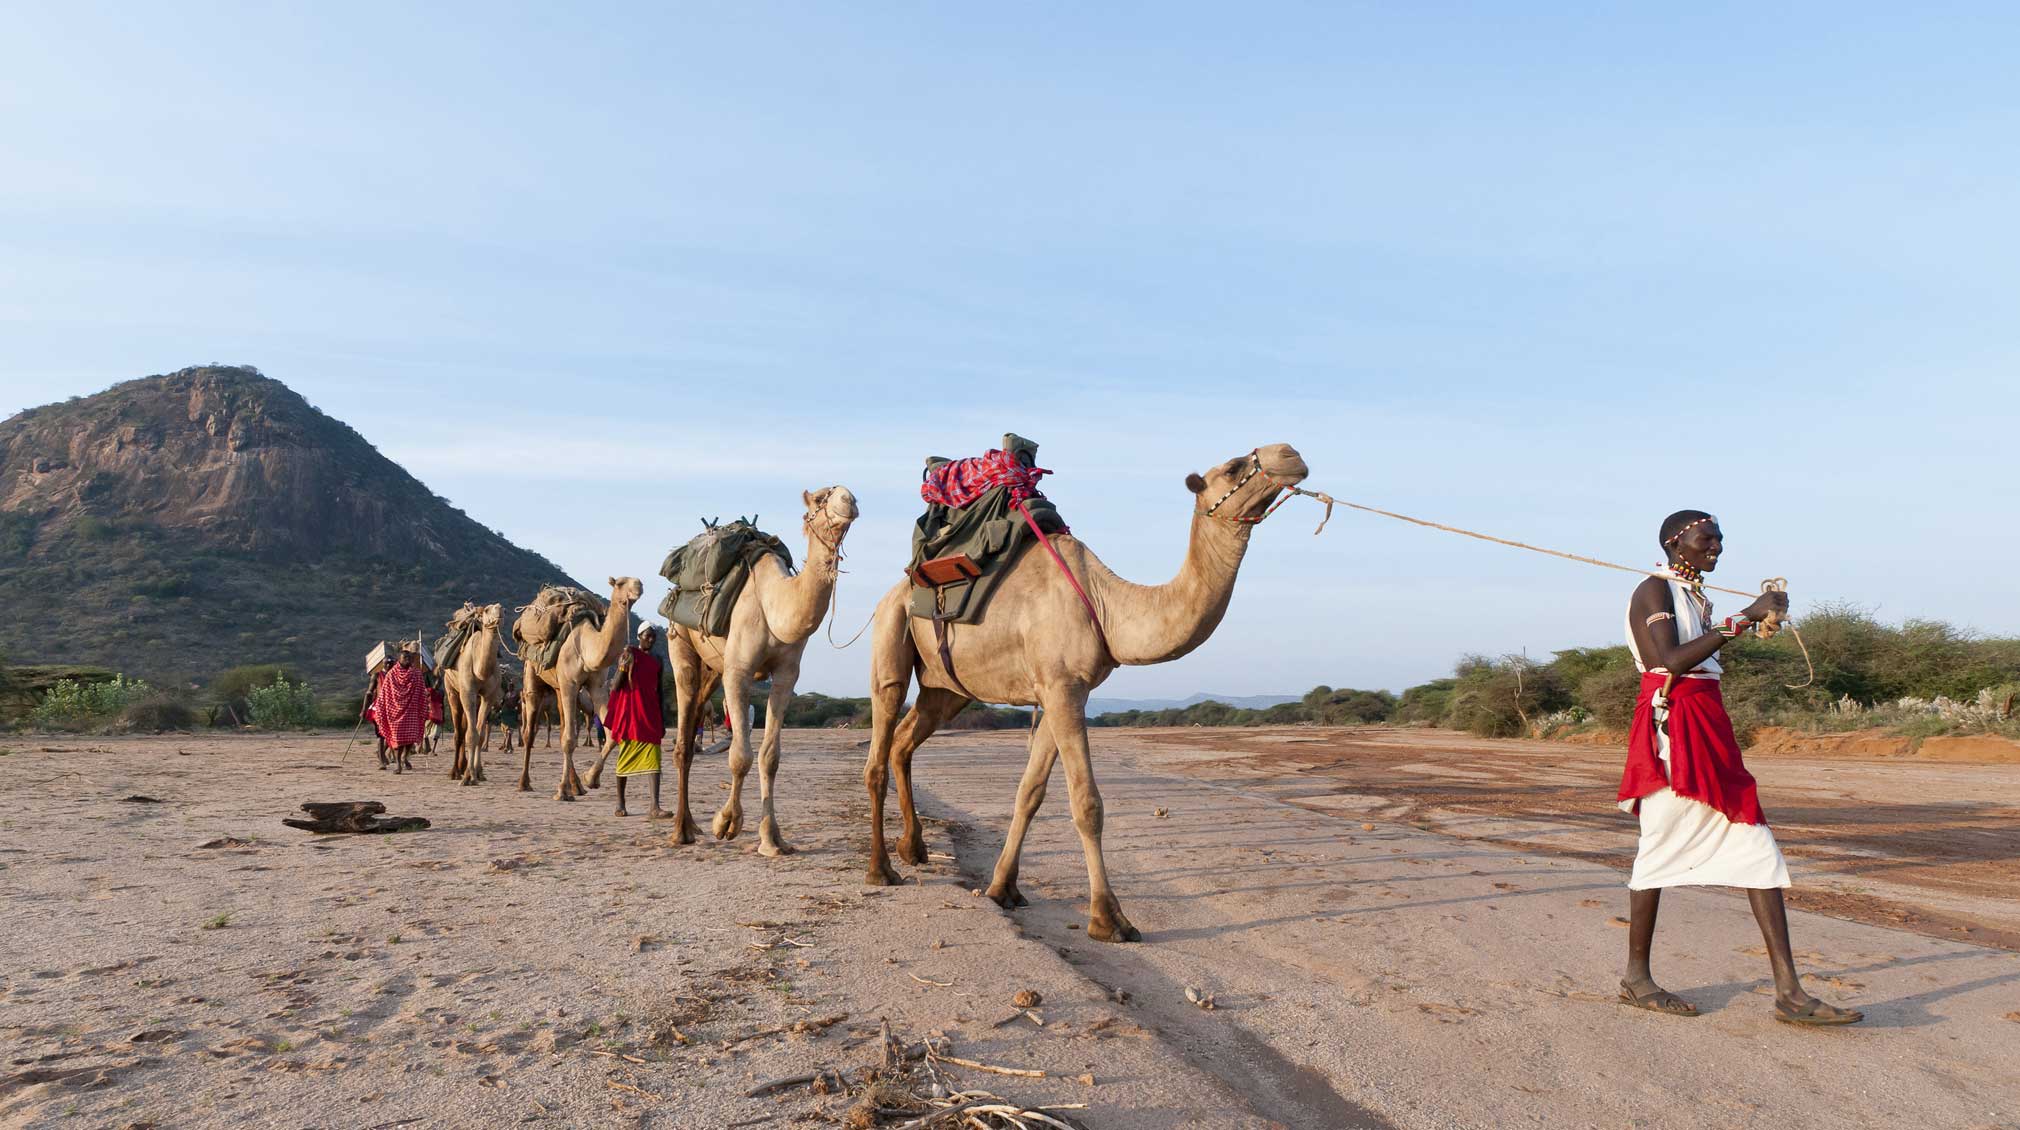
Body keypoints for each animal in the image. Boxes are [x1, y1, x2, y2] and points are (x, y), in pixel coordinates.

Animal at [444, 603, 505, 785]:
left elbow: (480, 734)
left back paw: (463, 767)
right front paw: (467, 777)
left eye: (504, 609)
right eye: (487, 610)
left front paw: (478, 773)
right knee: (458, 732)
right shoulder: (467, 692)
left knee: (466, 728)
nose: (499, 611)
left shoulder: (488, 697)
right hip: (452, 691)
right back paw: (455, 772)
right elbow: (471, 734)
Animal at [517, 577, 642, 800]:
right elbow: (568, 740)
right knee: (529, 732)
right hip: (532, 674)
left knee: (562, 727)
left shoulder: (597, 686)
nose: (638, 587)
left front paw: (590, 779)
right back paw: (525, 783)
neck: (586, 647)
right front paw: (561, 792)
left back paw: (576, 786)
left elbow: (611, 733)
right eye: (620, 583)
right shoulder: (571, 683)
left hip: (560, 688)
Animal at [649, 487, 859, 855]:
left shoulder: (787, 675)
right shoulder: (739, 672)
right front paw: (725, 823)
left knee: (694, 723)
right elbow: (740, 756)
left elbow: (769, 757)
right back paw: (680, 831)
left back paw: (691, 825)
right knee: (683, 735)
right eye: (821, 498)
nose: (849, 500)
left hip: (713, 668)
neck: (775, 603)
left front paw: (772, 839)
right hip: (680, 641)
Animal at [862, 443, 1311, 942]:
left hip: (946, 688)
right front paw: (1108, 918)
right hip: (891, 633)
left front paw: (1003, 888)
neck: (1106, 604)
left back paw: (913, 848)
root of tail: (897, 589)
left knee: (905, 741)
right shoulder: (1061, 687)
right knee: (880, 741)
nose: (1290, 453)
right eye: (1232, 468)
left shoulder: (1063, 690)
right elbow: (1086, 803)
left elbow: (1030, 791)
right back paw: (881, 869)